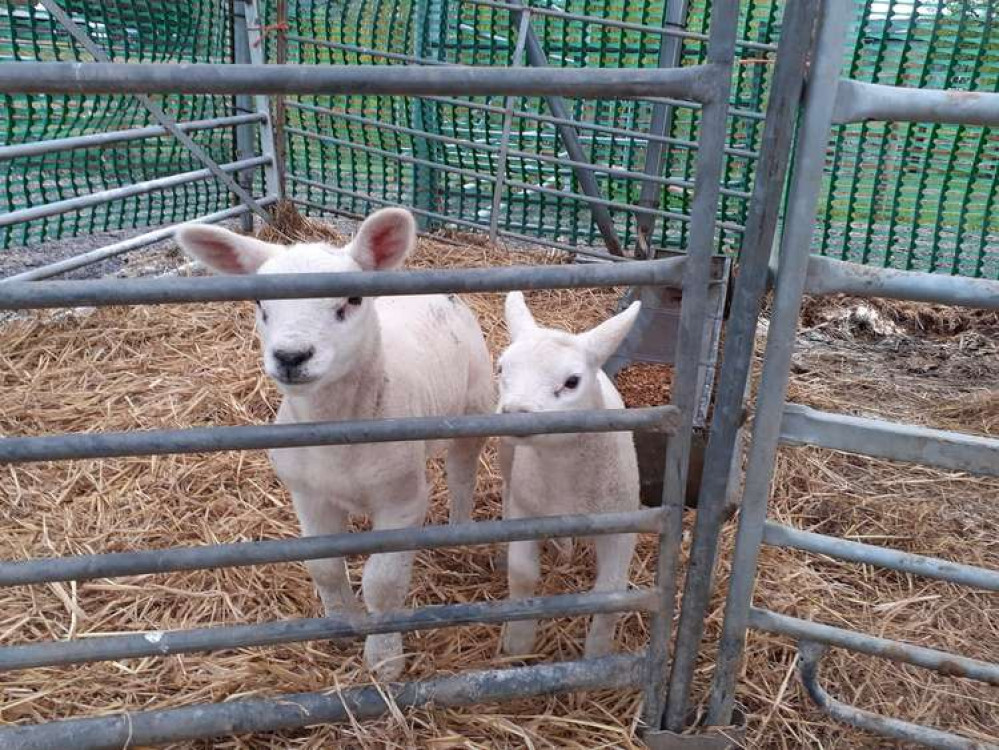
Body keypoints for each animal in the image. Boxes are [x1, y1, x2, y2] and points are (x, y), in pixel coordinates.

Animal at [179, 210, 496, 680]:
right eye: (261, 305)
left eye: (351, 299)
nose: (291, 357)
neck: (337, 435)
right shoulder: (309, 495)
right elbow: (325, 568)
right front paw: (343, 625)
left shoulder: (402, 500)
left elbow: (382, 583)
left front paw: (384, 660)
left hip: (473, 406)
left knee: (462, 474)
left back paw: (459, 531)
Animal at [496, 294, 644, 656]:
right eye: (502, 369)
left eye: (572, 381)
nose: (514, 413)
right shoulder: (526, 510)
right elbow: (522, 574)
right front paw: (518, 643)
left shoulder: (622, 522)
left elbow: (611, 592)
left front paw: (598, 652)